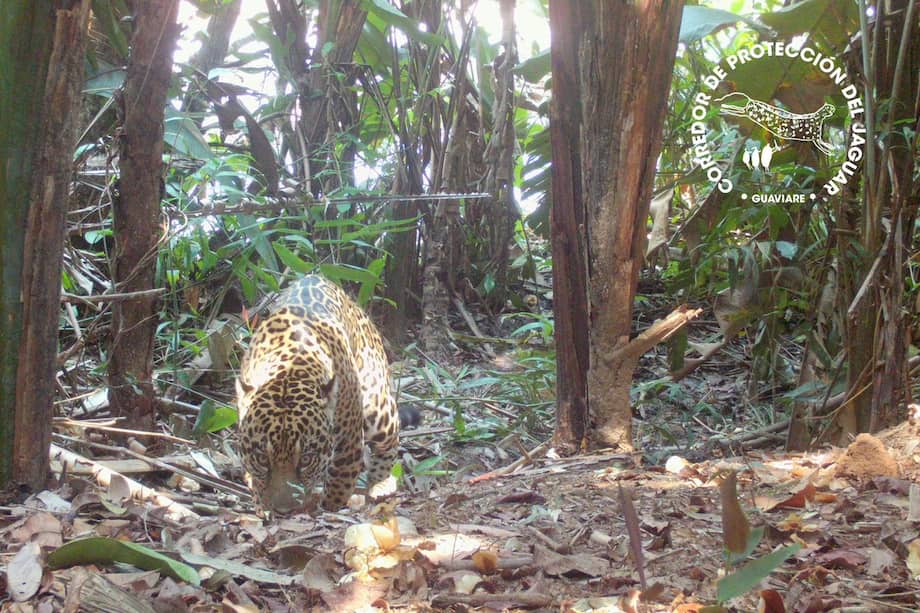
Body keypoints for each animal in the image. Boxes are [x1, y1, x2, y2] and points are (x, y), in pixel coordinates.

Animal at [235, 274, 400, 515]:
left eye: (306, 459)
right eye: (262, 458)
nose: (283, 511)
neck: (289, 367)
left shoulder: (348, 445)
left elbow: (339, 484)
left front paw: (326, 508)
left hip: (377, 407)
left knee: (390, 440)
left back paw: (380, 484)